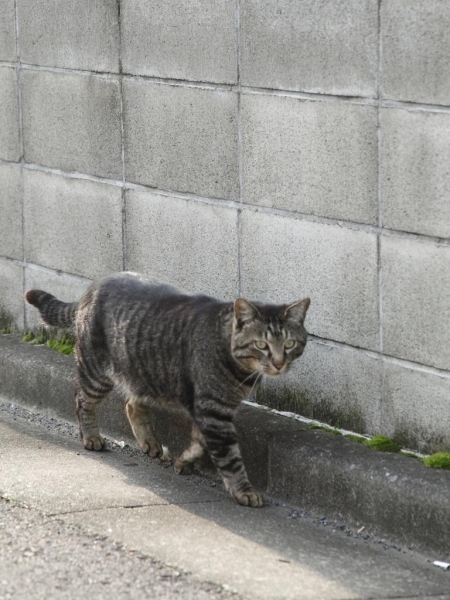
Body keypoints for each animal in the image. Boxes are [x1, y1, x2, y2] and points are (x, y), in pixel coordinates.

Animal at [25, 272, 310, 506]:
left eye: (290, 344)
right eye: (261, 345)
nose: (279, 363)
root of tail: (94, 284)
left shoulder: (207, 410)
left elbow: (199, 442)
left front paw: (183, 461)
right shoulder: (212, 411)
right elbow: (229, 457)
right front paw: (244, 491)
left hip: (140, 371)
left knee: (131, 404)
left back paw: (149, 441)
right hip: (95, 370)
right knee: (82, 399)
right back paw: (90, 437)